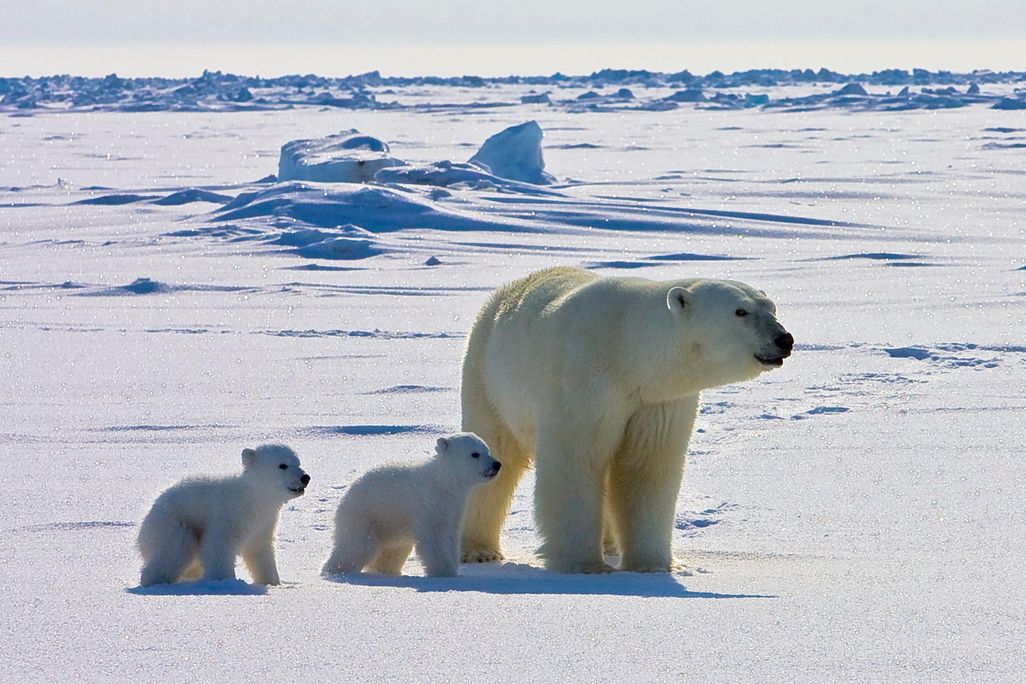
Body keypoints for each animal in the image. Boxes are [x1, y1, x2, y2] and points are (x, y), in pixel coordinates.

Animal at [137, 444, 310, 586]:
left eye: (298, 462)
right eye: (282, 465)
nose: (305, 477)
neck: (253, 499)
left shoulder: (263, 523)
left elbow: (260, 552)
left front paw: (272, 582)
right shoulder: (228, 514)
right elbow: (218, 546)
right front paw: (224, 581)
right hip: (173, 523)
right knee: (176, 549)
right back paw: (155, 580)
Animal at [322, 433, 500, 578]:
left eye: (488, 450)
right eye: (475, 454)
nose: (497, 464)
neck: (442, 483)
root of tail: (344, 499)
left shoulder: (454, 509)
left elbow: (451, 537)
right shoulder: (429, 504)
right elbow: (433, 538)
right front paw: (445, 573)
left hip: (391, 526)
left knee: (392, 552)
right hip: (366, 516)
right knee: (355, 547)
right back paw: (334, 571)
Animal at [459, 266, 793, 573]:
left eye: (772, 308)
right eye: (740, 311)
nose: (784, 339)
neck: (626, 351)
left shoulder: (657, 401)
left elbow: (645, 468)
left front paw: (653, 565)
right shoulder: (583, 383)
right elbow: (576, 462)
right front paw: (584, 565)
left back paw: (609, 544)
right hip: (487, 377)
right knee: (495, 450)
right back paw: (478, 550)